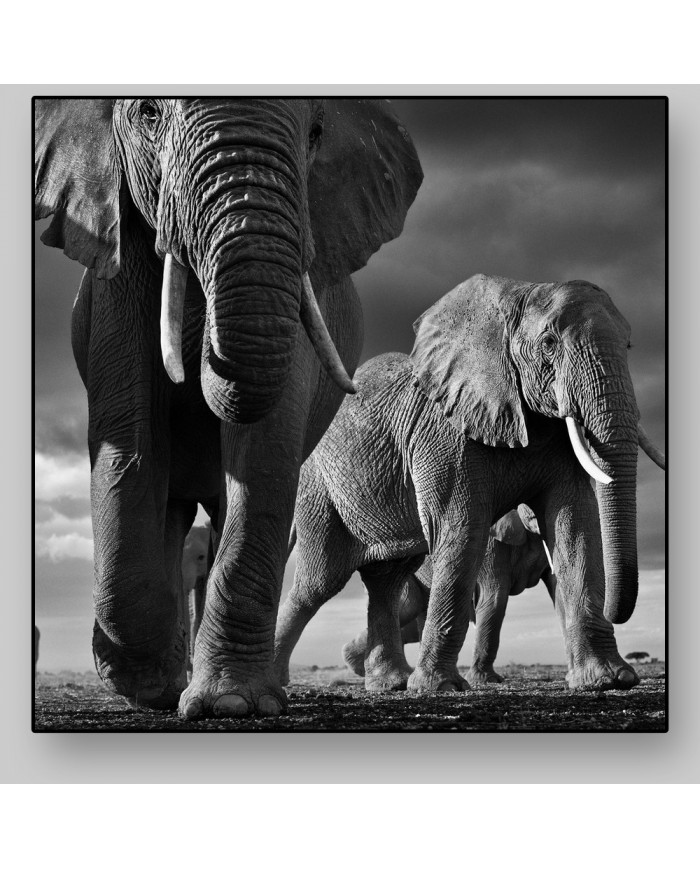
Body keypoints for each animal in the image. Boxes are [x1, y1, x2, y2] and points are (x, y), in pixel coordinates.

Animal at [34, 98, 423, 717]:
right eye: (148, 114)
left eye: (316, 132)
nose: (203, 356)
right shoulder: (115, 267)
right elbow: (131, 444)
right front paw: (139, 683)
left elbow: (262, 449)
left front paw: (232, 704)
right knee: (171, 511)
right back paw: (162, 682)